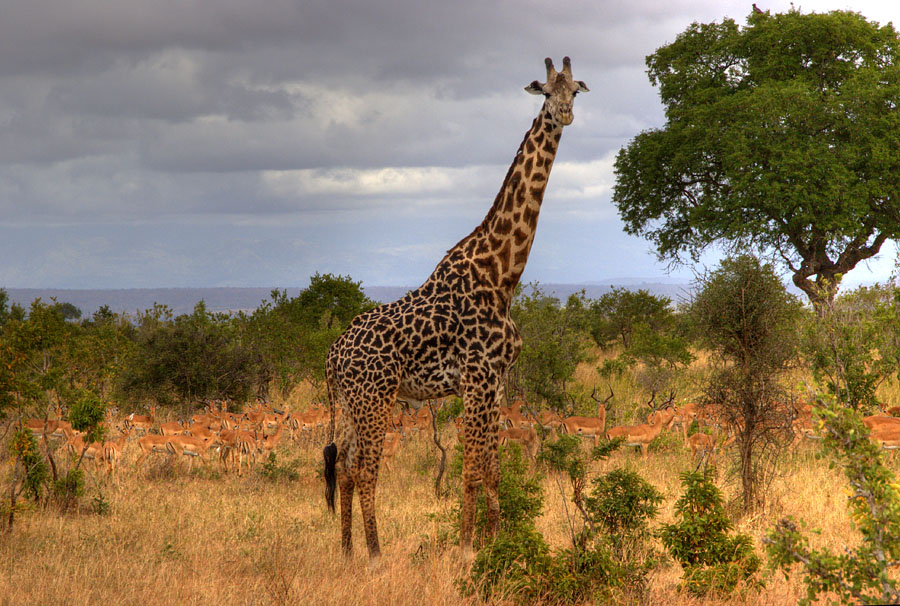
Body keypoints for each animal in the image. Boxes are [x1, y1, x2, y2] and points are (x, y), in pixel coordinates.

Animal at [324, 54, 592, 564]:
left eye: (575, 92)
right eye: (546, 93)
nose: (565, 115)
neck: (502, 274)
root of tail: (332, 357)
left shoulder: (498, 379)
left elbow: (492, 468)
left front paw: (498, 543)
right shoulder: (475, 377)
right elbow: (470, 469)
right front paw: (468, 550)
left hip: (349, 403)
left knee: (344, 467)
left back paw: (346, 551)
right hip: (376, 398)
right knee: (366, 470)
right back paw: (375, 553)